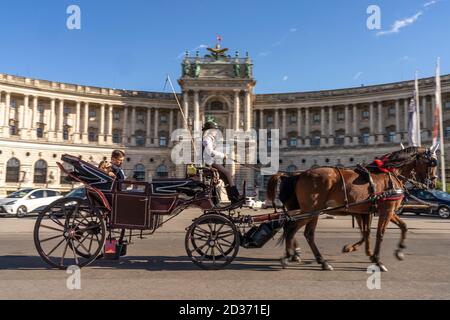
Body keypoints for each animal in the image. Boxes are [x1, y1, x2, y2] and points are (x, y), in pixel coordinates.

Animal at [268, 146, 438, 272]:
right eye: (432, 163)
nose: (433, 183)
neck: (389, 173)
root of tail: (300, 174)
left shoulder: (375, 211)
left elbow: (400, 227)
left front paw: (399, 251)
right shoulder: (385, 211)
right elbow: (379, 234)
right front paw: (377, 260)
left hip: (312, 211)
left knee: (305, 233)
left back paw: (317, 260)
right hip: (311, 210)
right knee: (293, 229)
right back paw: (293, 256)